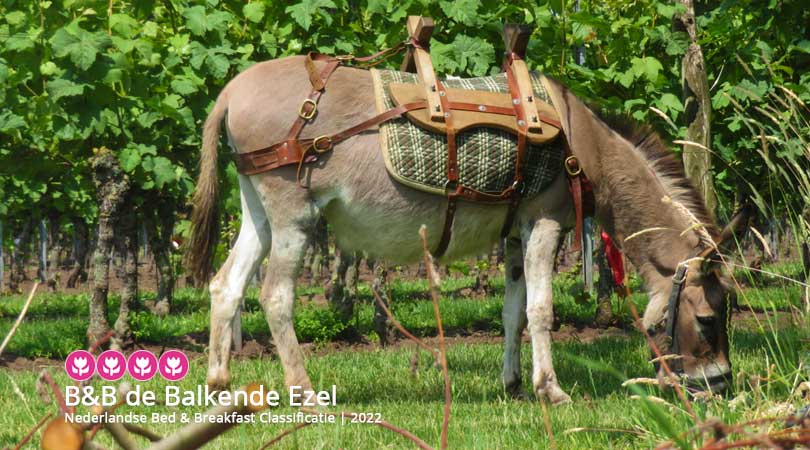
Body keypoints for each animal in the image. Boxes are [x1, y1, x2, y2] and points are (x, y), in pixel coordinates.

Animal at [188, 55, 737, 404]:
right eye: (708, 319)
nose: (721, 386)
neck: (582, 147)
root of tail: (233, 89)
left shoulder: (515, 232)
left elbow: (513, 312)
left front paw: (513, 385)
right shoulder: (543, 223)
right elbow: (541, 310)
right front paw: (551, 390)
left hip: (258, 211)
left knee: (226, 285)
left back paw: (218, 385)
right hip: (294, 215)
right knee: (275, 295)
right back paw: (303, 392)